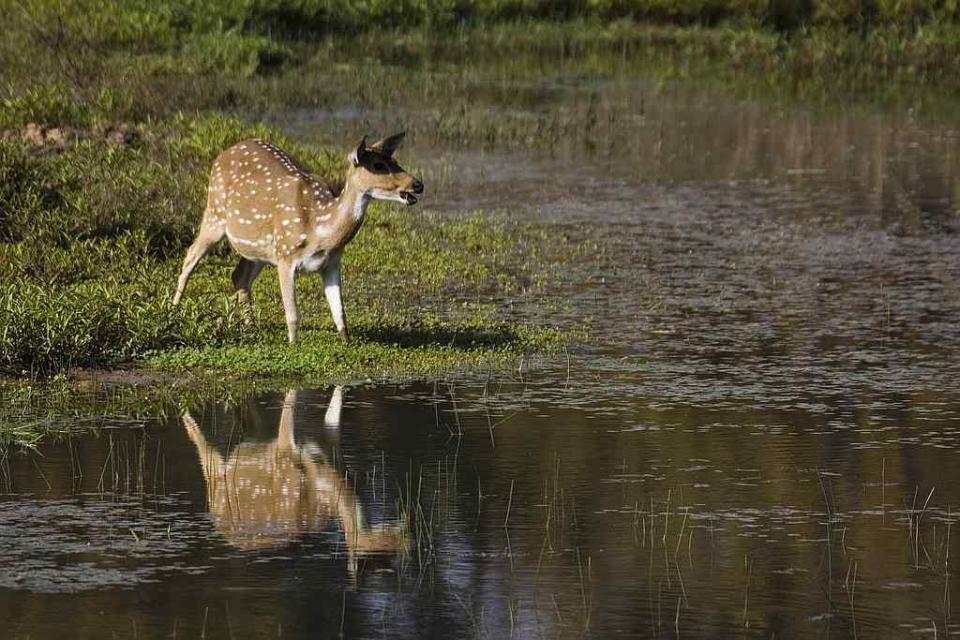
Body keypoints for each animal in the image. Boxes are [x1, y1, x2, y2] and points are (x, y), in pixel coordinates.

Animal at [172, 133, 424, 342]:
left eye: (395, 160)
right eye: (378, 165)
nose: (418, 184)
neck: (319, 229)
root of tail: (224, 152)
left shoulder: (331, 263)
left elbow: (340, 313)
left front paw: (347, 344)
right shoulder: (286, 256)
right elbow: (292, 314)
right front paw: (293, 345)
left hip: (259, 248)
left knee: (239, 275)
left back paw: (251, 327)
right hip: (214, 213)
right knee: (190, 257)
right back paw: (173, 313)